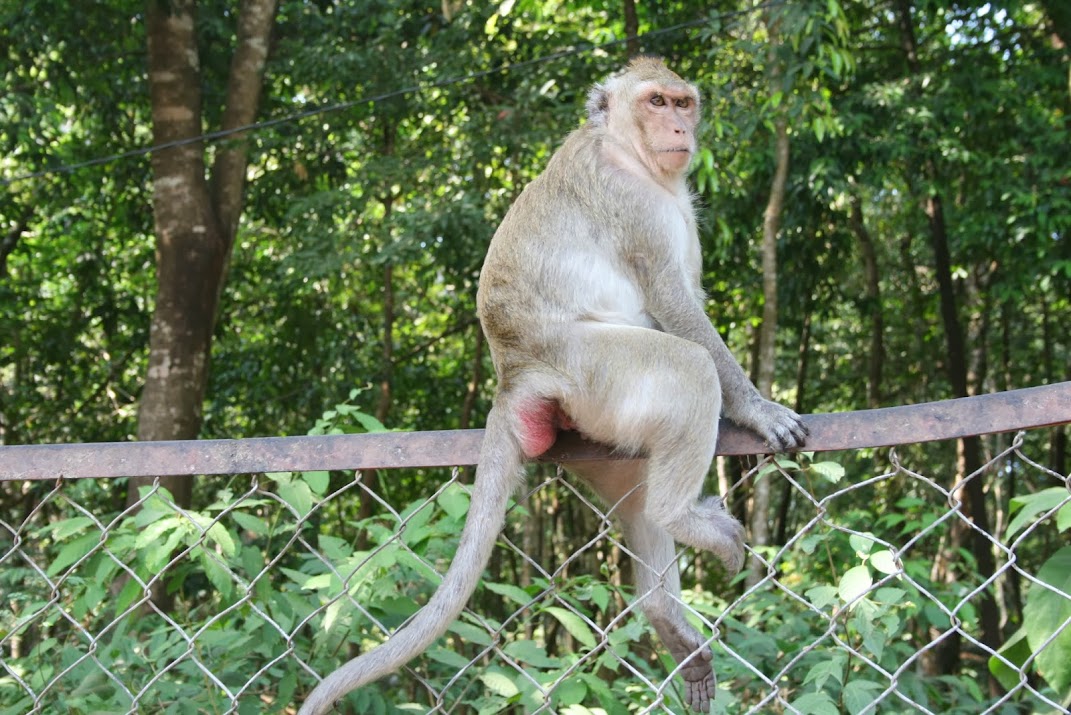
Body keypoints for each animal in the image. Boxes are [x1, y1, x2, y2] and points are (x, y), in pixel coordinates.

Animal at [299, 57, 805, 714]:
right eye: (656, 101)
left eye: (683, 102)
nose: (677, 128)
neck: (627, 151)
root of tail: (515, 378)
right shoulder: (629, 200)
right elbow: (674, 300)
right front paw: (756, 408)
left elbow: (684, 294)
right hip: (595, 370)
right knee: (689, 368)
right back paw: (681, 517)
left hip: (596, 422)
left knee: (635, 495)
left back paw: (664, 615)